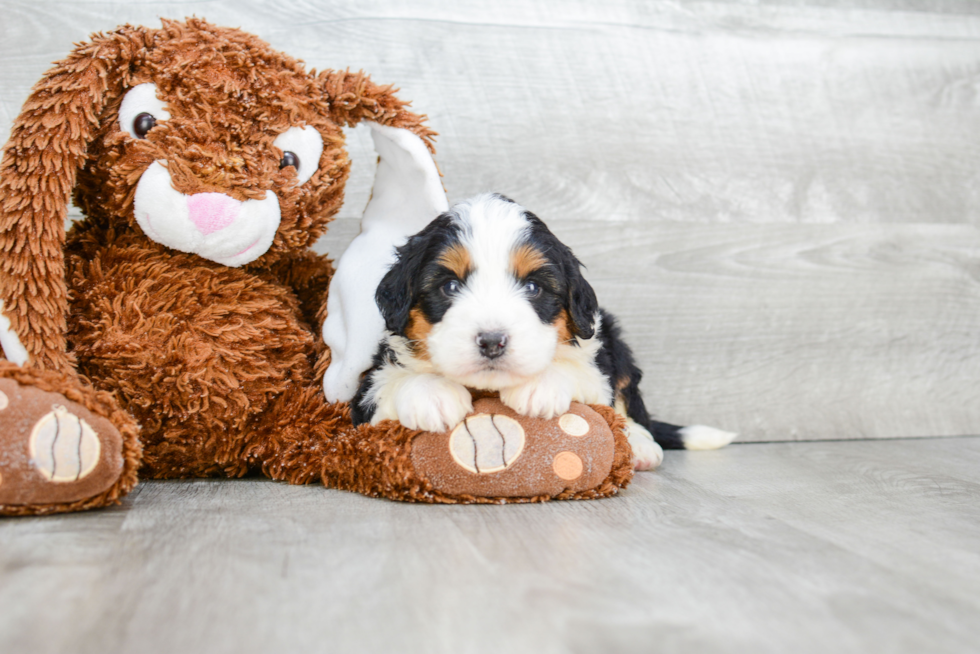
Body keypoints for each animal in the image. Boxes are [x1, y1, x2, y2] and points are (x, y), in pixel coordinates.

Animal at [352, 195, 736, 472]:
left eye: (533, 287)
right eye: (449, 286)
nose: (492, 342)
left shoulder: (596, 358)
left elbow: (579, 370)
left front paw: (540, 386)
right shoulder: (363, 401)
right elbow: (392, 381)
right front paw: (433, 394)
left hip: (617, 346)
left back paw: (641, 447)